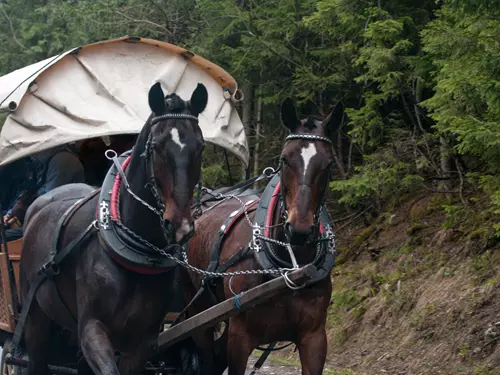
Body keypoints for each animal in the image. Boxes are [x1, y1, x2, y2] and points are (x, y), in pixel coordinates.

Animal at [17, 81, 208, 374]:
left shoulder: (144, 340)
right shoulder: (92, 329)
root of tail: (37, 209)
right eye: (157, 146)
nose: (179, 225)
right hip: (35, 316)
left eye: (200, 146)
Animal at [185, 99, 344, 375]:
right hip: (197, 310)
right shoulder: (240, 338)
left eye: (329, 163)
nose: (299, 230)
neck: (290, 266)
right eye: (285, 158)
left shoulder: (314, 339)